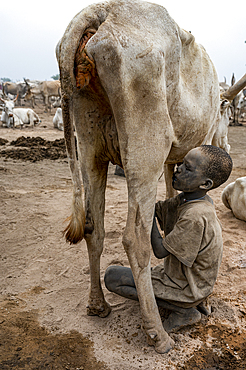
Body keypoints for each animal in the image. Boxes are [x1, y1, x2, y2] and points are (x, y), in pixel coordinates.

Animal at [56, 0, 246, 352]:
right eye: (226, 111)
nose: (226, 143)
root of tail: (100, 11)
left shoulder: (175, 160)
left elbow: (173, 192)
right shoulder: (200, 137)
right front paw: (204, 303)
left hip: (88, 143)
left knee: (94, 227)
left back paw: (98, 305)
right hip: (147, 144)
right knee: (134, 238)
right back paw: (158, 333)